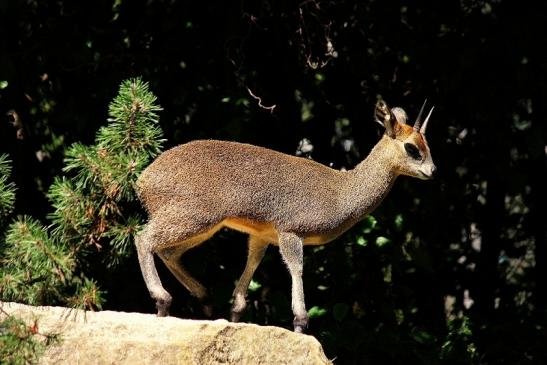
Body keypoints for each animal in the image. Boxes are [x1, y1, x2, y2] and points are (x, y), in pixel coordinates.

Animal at [134, 98, 436, 332]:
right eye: (412, 147)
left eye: (427, 144)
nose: (432, 171)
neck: (341, 191)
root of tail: (144, 179)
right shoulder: (291, 232)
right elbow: (297, 268)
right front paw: (301, 322)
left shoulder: (262, 235)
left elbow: (252, 266)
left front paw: (235, 313)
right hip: (194, 217)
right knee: (143, 239)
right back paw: (162, 300)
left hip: (204, 226)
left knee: (168, 252)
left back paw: (203, 298)